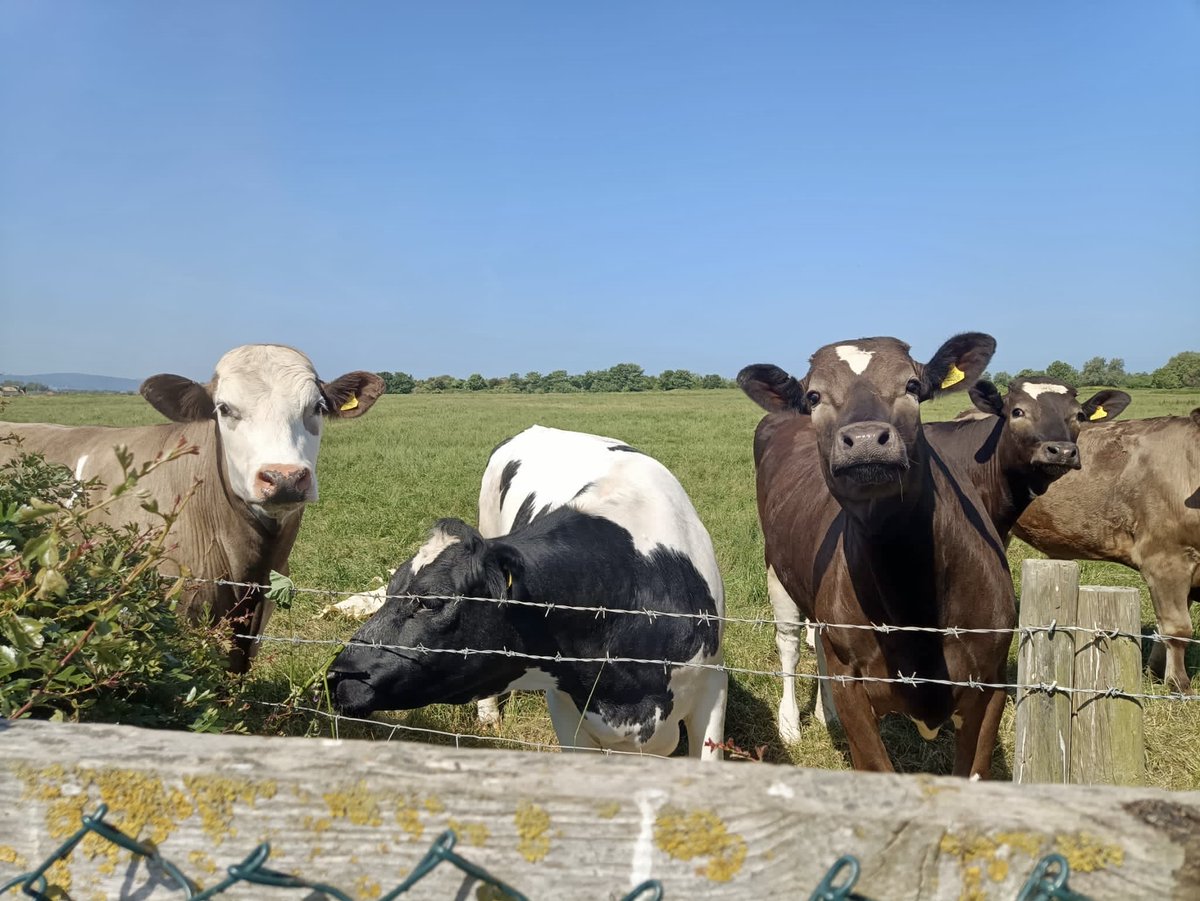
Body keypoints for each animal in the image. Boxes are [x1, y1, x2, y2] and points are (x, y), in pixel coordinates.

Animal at [739, 333, 1012, 777]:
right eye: (814, 396)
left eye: (913, 385)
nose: (866, 439)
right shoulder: (853, 683)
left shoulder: (992, 679)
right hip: (776, 571)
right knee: (790, 642)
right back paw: (790, 723)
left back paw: (825, 714)